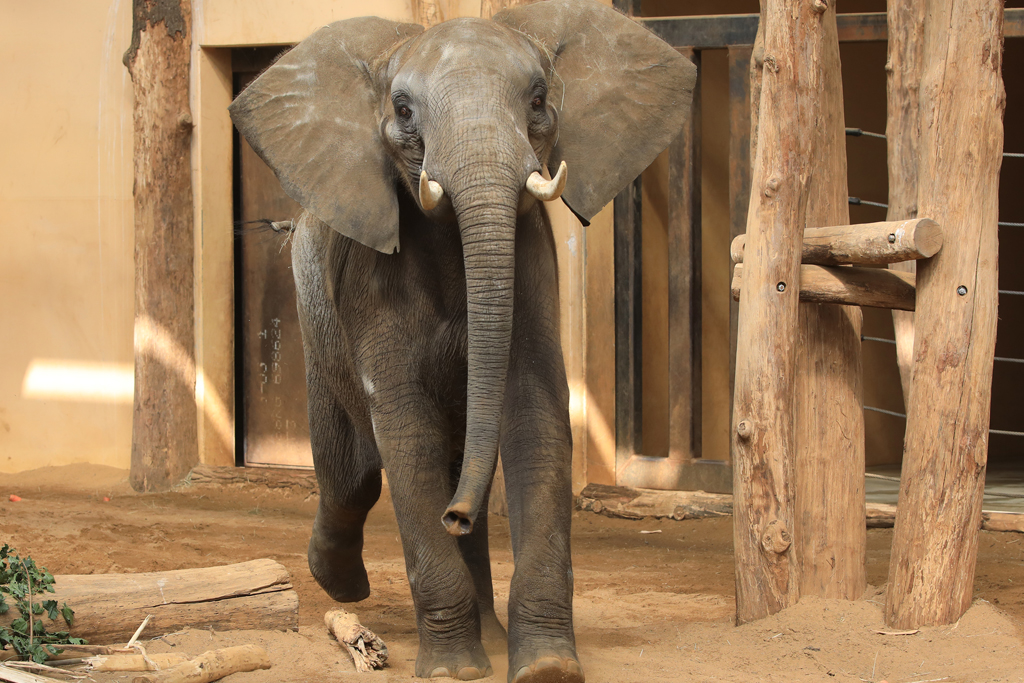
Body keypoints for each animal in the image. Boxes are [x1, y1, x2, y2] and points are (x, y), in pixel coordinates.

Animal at [232, 2, 696, 679]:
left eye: (538, 98)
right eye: (402, 110)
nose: (455, 515)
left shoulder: (533, 262)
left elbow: (535, 417)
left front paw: (546, 666)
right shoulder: (370, 288)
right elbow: (407, 434)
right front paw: (454, 671)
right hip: (314, 322)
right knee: (352, 475)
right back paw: (339, 583)